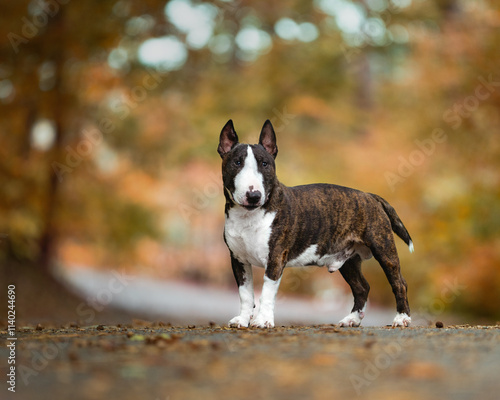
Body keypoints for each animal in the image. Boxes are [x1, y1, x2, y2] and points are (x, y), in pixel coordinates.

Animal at [217, 119, 412, 328]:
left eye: (265, 164)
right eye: (237, 162)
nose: (253, 195)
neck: (249, 215)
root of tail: (370, 196)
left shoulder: (275, 258)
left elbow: (267, 293)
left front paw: (263, 320)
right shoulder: (238, 260)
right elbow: (245, 294)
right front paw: (242, 320)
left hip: (383, 249)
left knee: (399, 282)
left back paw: (402, 318)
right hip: (348, 259)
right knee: (362, 287)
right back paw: (351, 319)